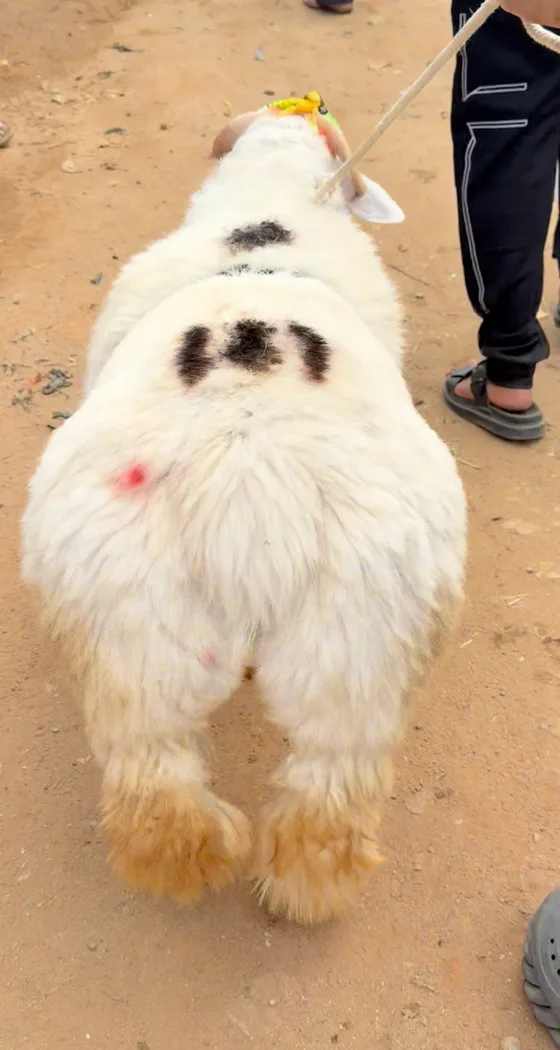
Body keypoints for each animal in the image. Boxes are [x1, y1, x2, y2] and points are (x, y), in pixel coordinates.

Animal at [21, 109, 467, 925]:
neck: (267, 217)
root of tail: (249, 474)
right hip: (340, 646)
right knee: (308, 802)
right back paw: (286, 894)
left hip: (154, 631)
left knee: (165, 794)